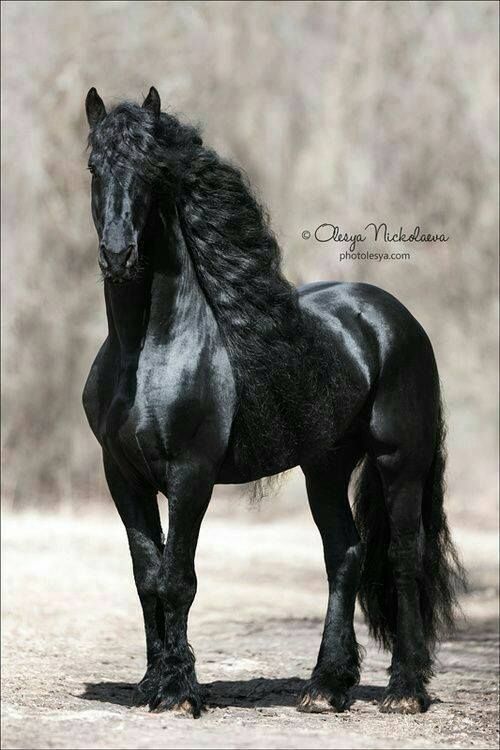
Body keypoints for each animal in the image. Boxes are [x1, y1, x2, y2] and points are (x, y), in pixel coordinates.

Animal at [81, 85, 464, 720]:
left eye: (153, 172)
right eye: (94, 167)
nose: (118, 255)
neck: (149, 351)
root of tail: (393, 317)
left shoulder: (191, 475)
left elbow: (178, 579)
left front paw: (179, 693)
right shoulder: (123, 477)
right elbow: (147, 577)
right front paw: (153, 684)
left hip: (398, 463)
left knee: (403, 558)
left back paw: (405, 691)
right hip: (325, 467)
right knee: (345, 555)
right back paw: (325, 687)